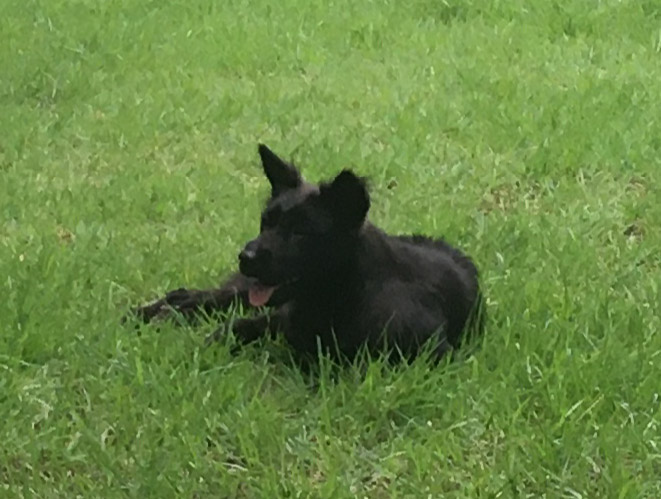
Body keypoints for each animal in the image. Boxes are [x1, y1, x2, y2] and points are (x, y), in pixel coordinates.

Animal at [130, 144, 484, 363]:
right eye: (266, 221)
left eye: (301, 233)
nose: (246, 257)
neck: (343, 291)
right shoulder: (280, 314)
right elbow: (236, 326)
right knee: (205, 296)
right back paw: (156, 311)